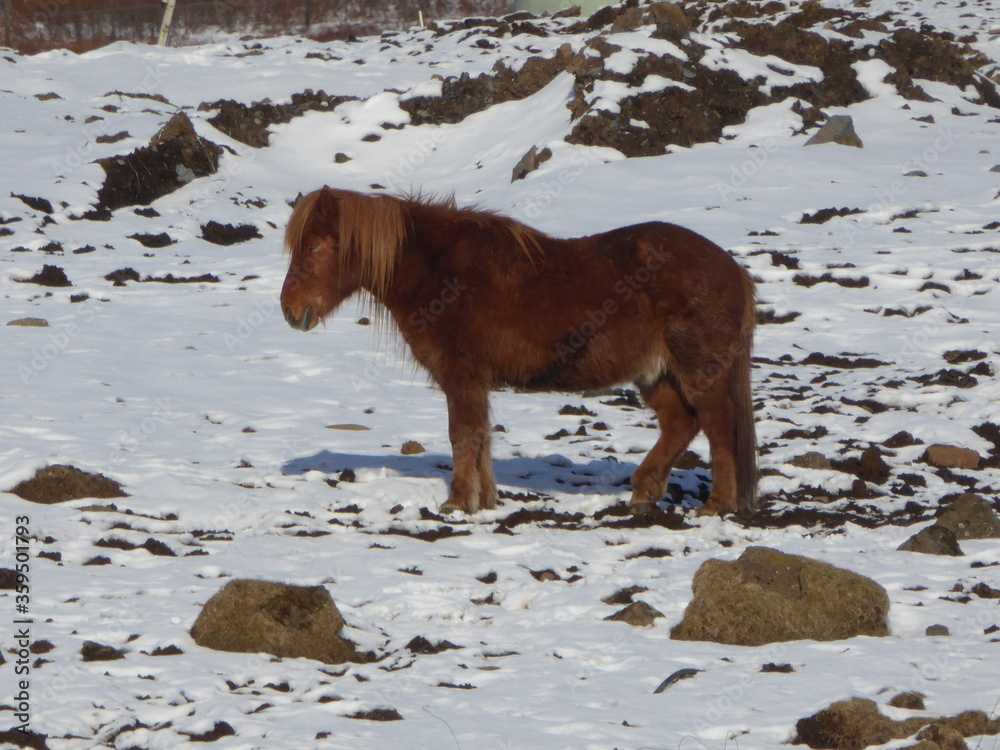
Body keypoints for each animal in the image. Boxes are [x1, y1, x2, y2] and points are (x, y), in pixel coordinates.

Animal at [280, 186, 757, 517]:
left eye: (316, 246)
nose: (290, 310)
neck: (439, 273)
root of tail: (732, 269)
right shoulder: (473, 382)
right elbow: (480, 436)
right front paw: (486, 499)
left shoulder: (461, 377)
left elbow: (463, 434)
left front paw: (458, 502)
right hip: (657, 373)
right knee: (681, 424)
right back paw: (644, 491)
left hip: (697, 370)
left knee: (718, 425)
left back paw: (717, 506)